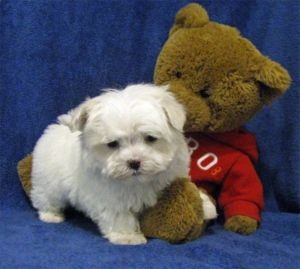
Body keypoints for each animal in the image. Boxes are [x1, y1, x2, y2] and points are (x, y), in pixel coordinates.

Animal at [30, 84, 216, 245]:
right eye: (112, 144)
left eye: (150, 138)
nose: (134, 162)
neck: (140, 181)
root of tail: (56, 129)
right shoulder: (110, 196)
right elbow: (119, 215)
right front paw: (127, 236)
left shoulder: (174, 174)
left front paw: (206, 205)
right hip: (49, 183)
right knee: (44, 197)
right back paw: (51, 215)